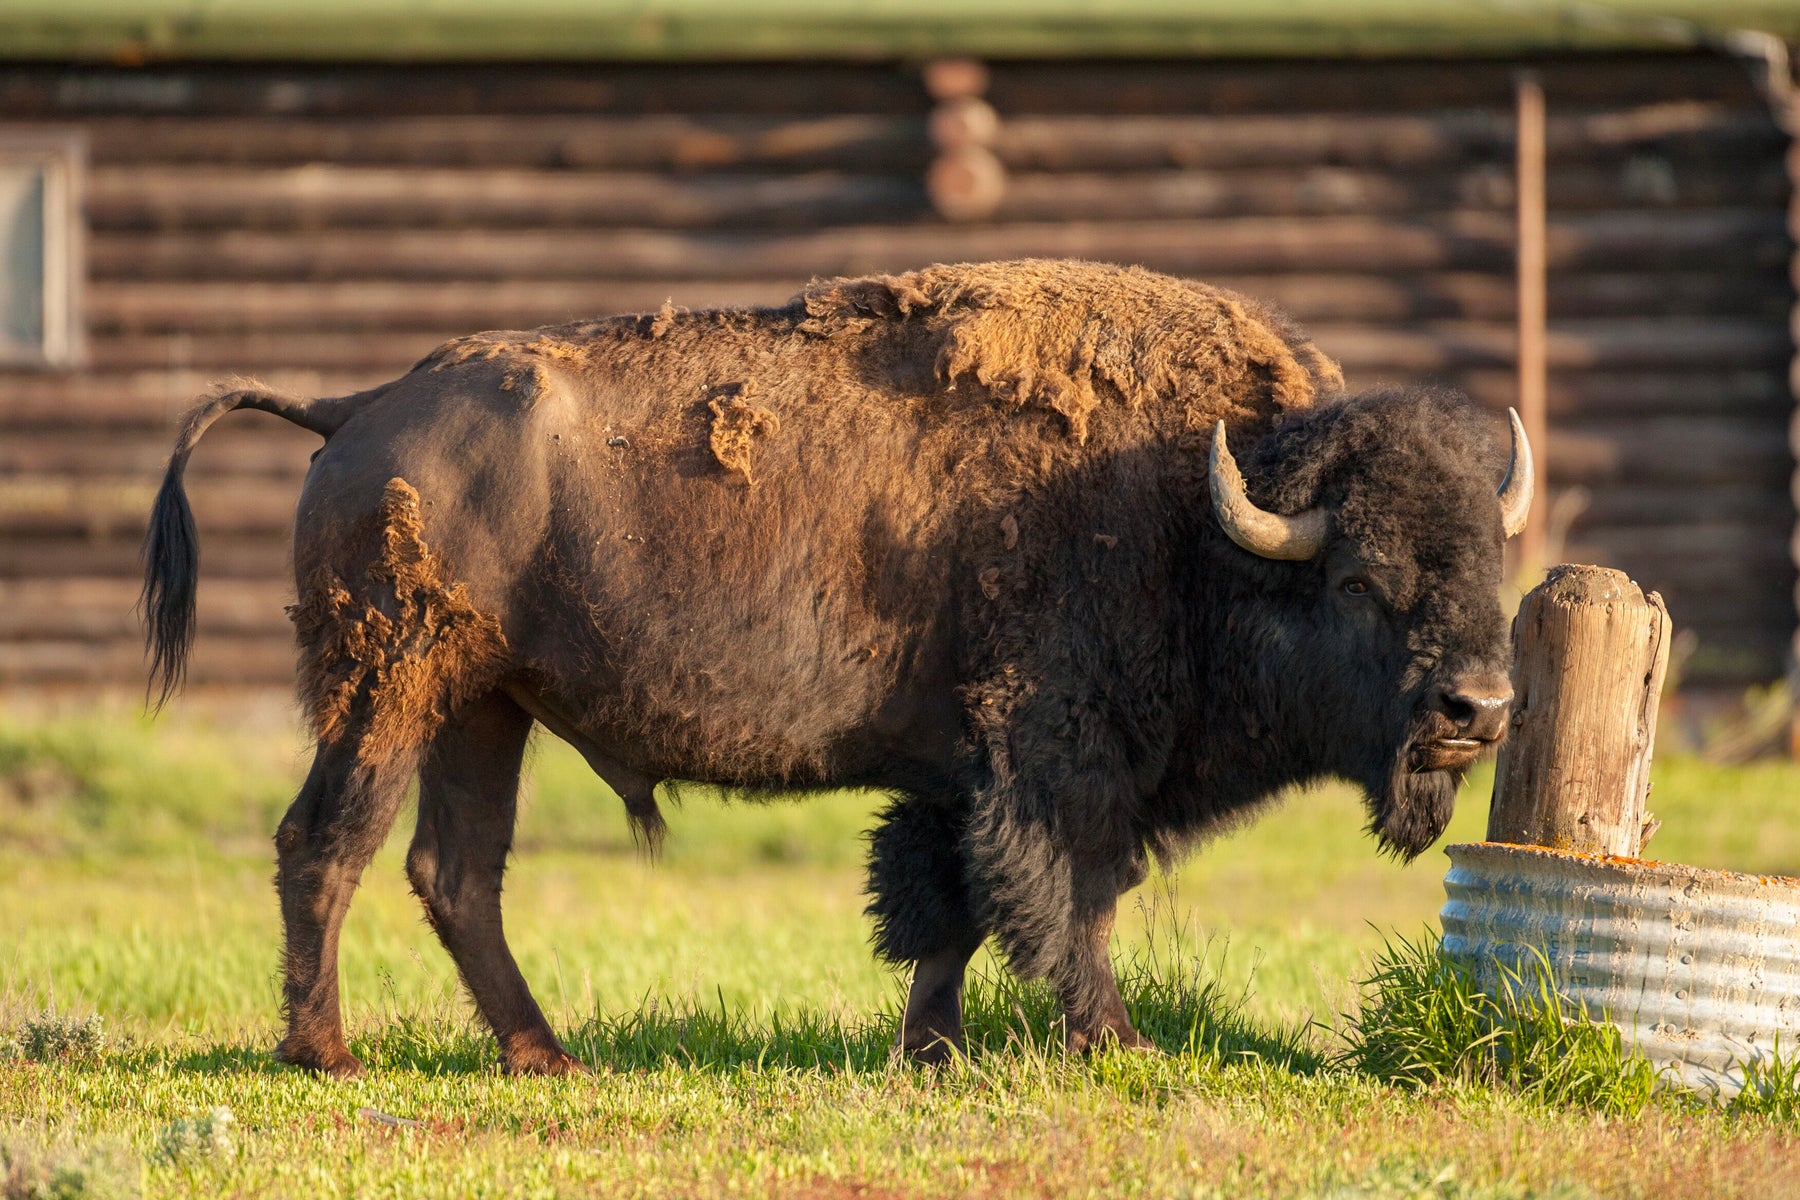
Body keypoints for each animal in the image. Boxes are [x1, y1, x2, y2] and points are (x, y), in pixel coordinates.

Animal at [140, 259, 1526, 1072]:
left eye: (1487, 567)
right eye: (1360, 581)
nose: (1480, 709)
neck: (1196, 509)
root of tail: (359, 408)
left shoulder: (960, 776)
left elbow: (948, 907)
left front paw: (934, 1050)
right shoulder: (1053, 763)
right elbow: (1064, 899)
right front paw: (1117, 1043)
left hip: (487, 707)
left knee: (454, 869)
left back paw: (546, 1056)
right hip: (391, 685)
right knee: (329, 843)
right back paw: (326, 1053)